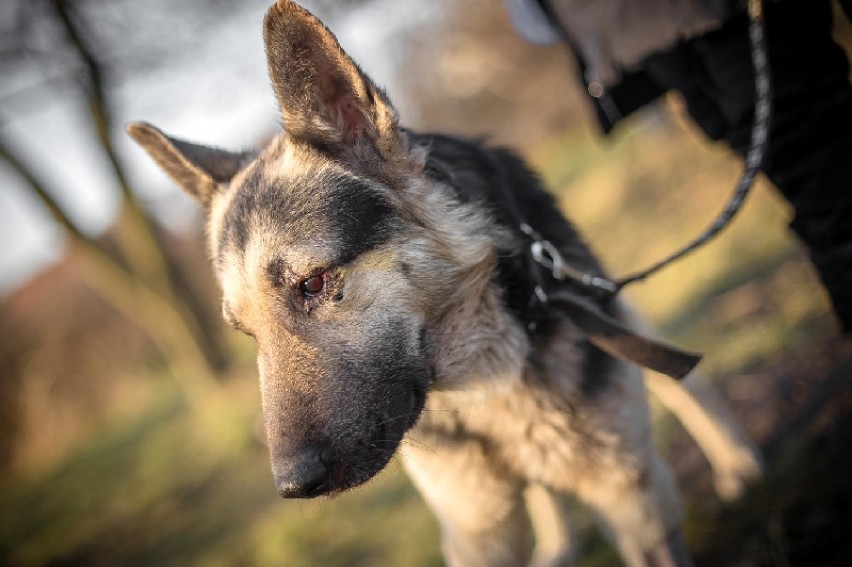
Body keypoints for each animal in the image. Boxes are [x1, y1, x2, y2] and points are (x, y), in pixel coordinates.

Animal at [130, 2, 764, 564]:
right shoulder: (474, 530)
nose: (293, 486)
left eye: (311, 283)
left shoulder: (630, 500)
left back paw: (735, 460)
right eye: (245, 333)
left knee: (678, 381)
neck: (481, 390)